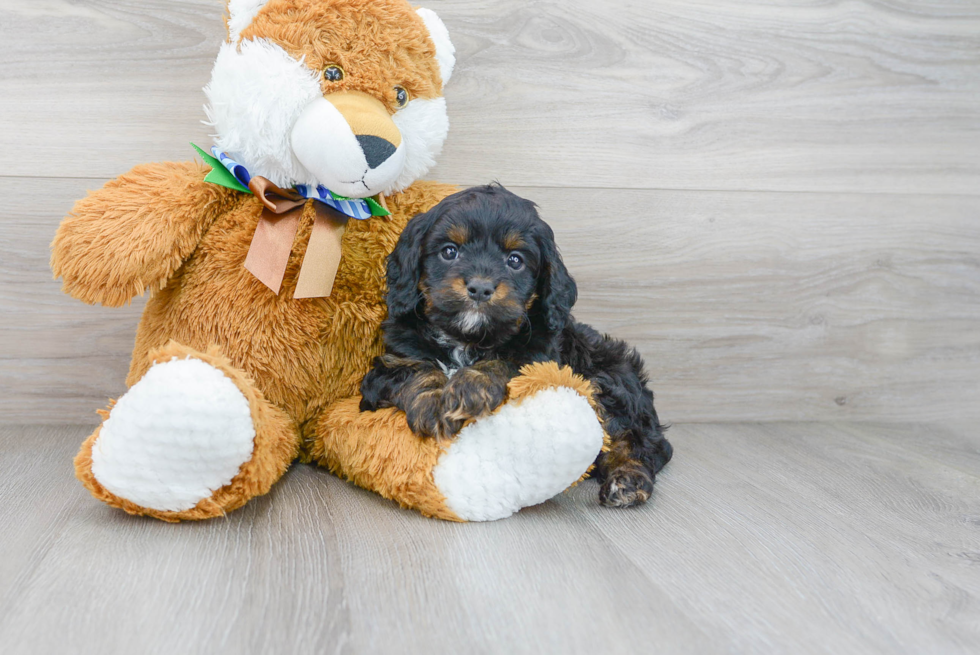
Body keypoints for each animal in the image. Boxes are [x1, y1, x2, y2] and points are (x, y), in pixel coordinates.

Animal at [360, 184, 672, 508]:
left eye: (515, 260)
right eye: (449, 251)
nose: (480, 287)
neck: (469, 339)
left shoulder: (541, 360)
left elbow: (507, 362)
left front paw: (470, 386)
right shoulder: (388, 365)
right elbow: (414, 369)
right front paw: (432, 402)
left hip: (607, 377)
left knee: (641, 441)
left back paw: (628, 479)